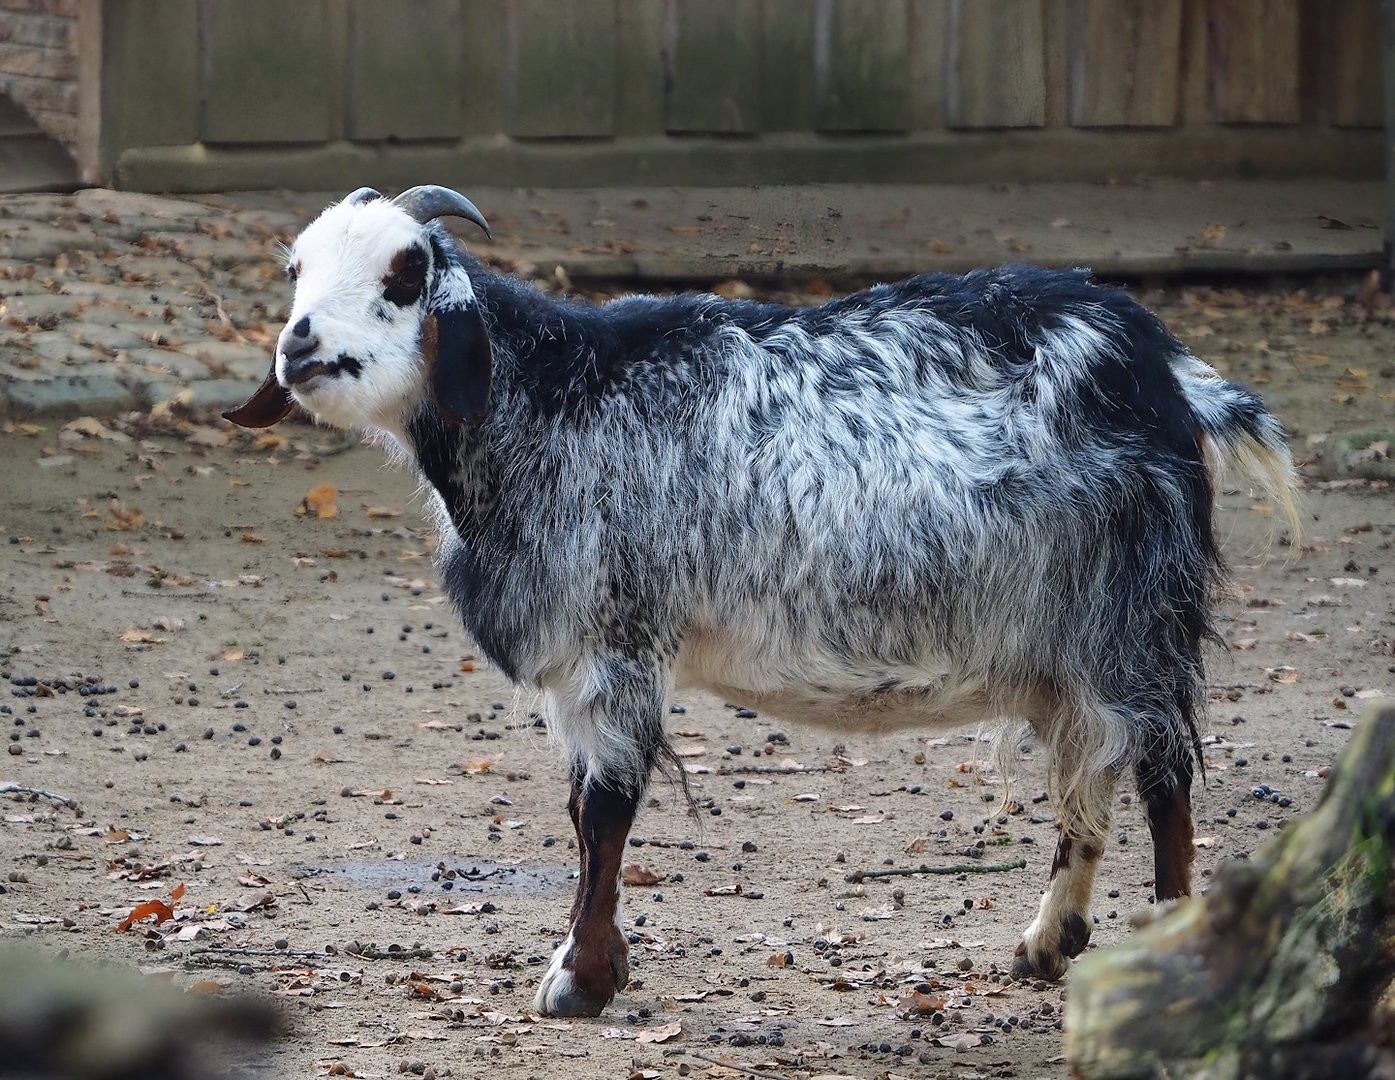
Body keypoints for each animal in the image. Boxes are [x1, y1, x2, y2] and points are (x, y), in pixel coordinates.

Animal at [224, 185, 1300, 1018]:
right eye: (297, 270)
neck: (553, 396)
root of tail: (1162, 364)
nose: (300, 346)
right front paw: (602, 964)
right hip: (1065, 635)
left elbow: (605, 809)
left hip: (1133, 609)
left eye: (404, 274)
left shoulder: (619, 636)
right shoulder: (582, 662)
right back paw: (1048, 941)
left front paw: (578, 979)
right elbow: (579, 809)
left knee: (1161, 773)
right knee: (1090, 770)